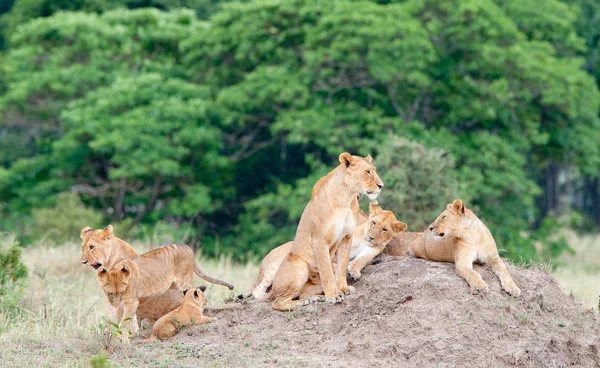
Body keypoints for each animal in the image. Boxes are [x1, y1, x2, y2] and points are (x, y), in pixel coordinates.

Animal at [240, 201, 408, 300]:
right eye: (373, 222)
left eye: (384, 229)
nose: (371, 237)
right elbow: (332, 262)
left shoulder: (371, 251)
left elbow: (360, 260)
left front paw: (353, 270)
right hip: (276, 267)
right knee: (258, 288)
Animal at [270, 152, 384, 310]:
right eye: (367, 172)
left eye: (374, 170)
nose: (381, 185)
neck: (346, 198)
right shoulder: (319, 240)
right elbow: (326, 271)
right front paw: (333, 295)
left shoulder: (346, 237)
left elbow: (342, 266)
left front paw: (343, 288)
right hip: (299, 265)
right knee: (277, 303)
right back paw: (303, 302)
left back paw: (314, 297)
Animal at [384, 200, 520, 298]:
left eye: (443, 217)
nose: (430, 227)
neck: (472, 235)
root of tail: (422, 233)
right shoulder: (462, 261)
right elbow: (472, 273)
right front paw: (479, 286)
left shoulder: (493, 258)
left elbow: (505, 272)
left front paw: (513, 289)